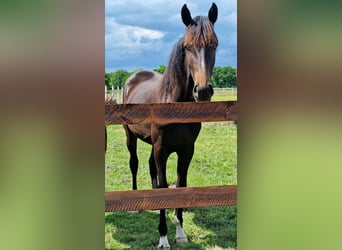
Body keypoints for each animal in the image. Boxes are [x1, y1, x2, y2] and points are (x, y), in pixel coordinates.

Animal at [123, 2, 219, 249]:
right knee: (134, 164)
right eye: (187, 46)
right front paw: (163, 237)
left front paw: (180, 232)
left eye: (214, 44)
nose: (202, 91)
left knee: (150, 169)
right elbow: (166, 184)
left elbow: (179, 185)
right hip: (131, 137)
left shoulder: (185, 151)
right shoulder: (162, 150)